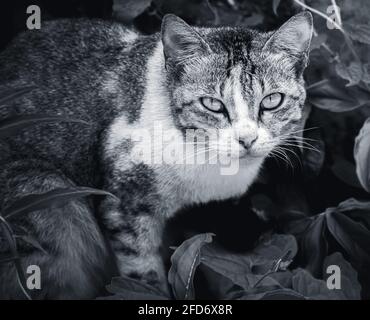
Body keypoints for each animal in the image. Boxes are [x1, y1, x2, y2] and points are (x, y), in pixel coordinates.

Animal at [0, 11, 312, 298]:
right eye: (212, 104)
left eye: (272, 101)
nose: (247, 139)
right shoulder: (124, 204)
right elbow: (143, 272)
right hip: (47, 196)